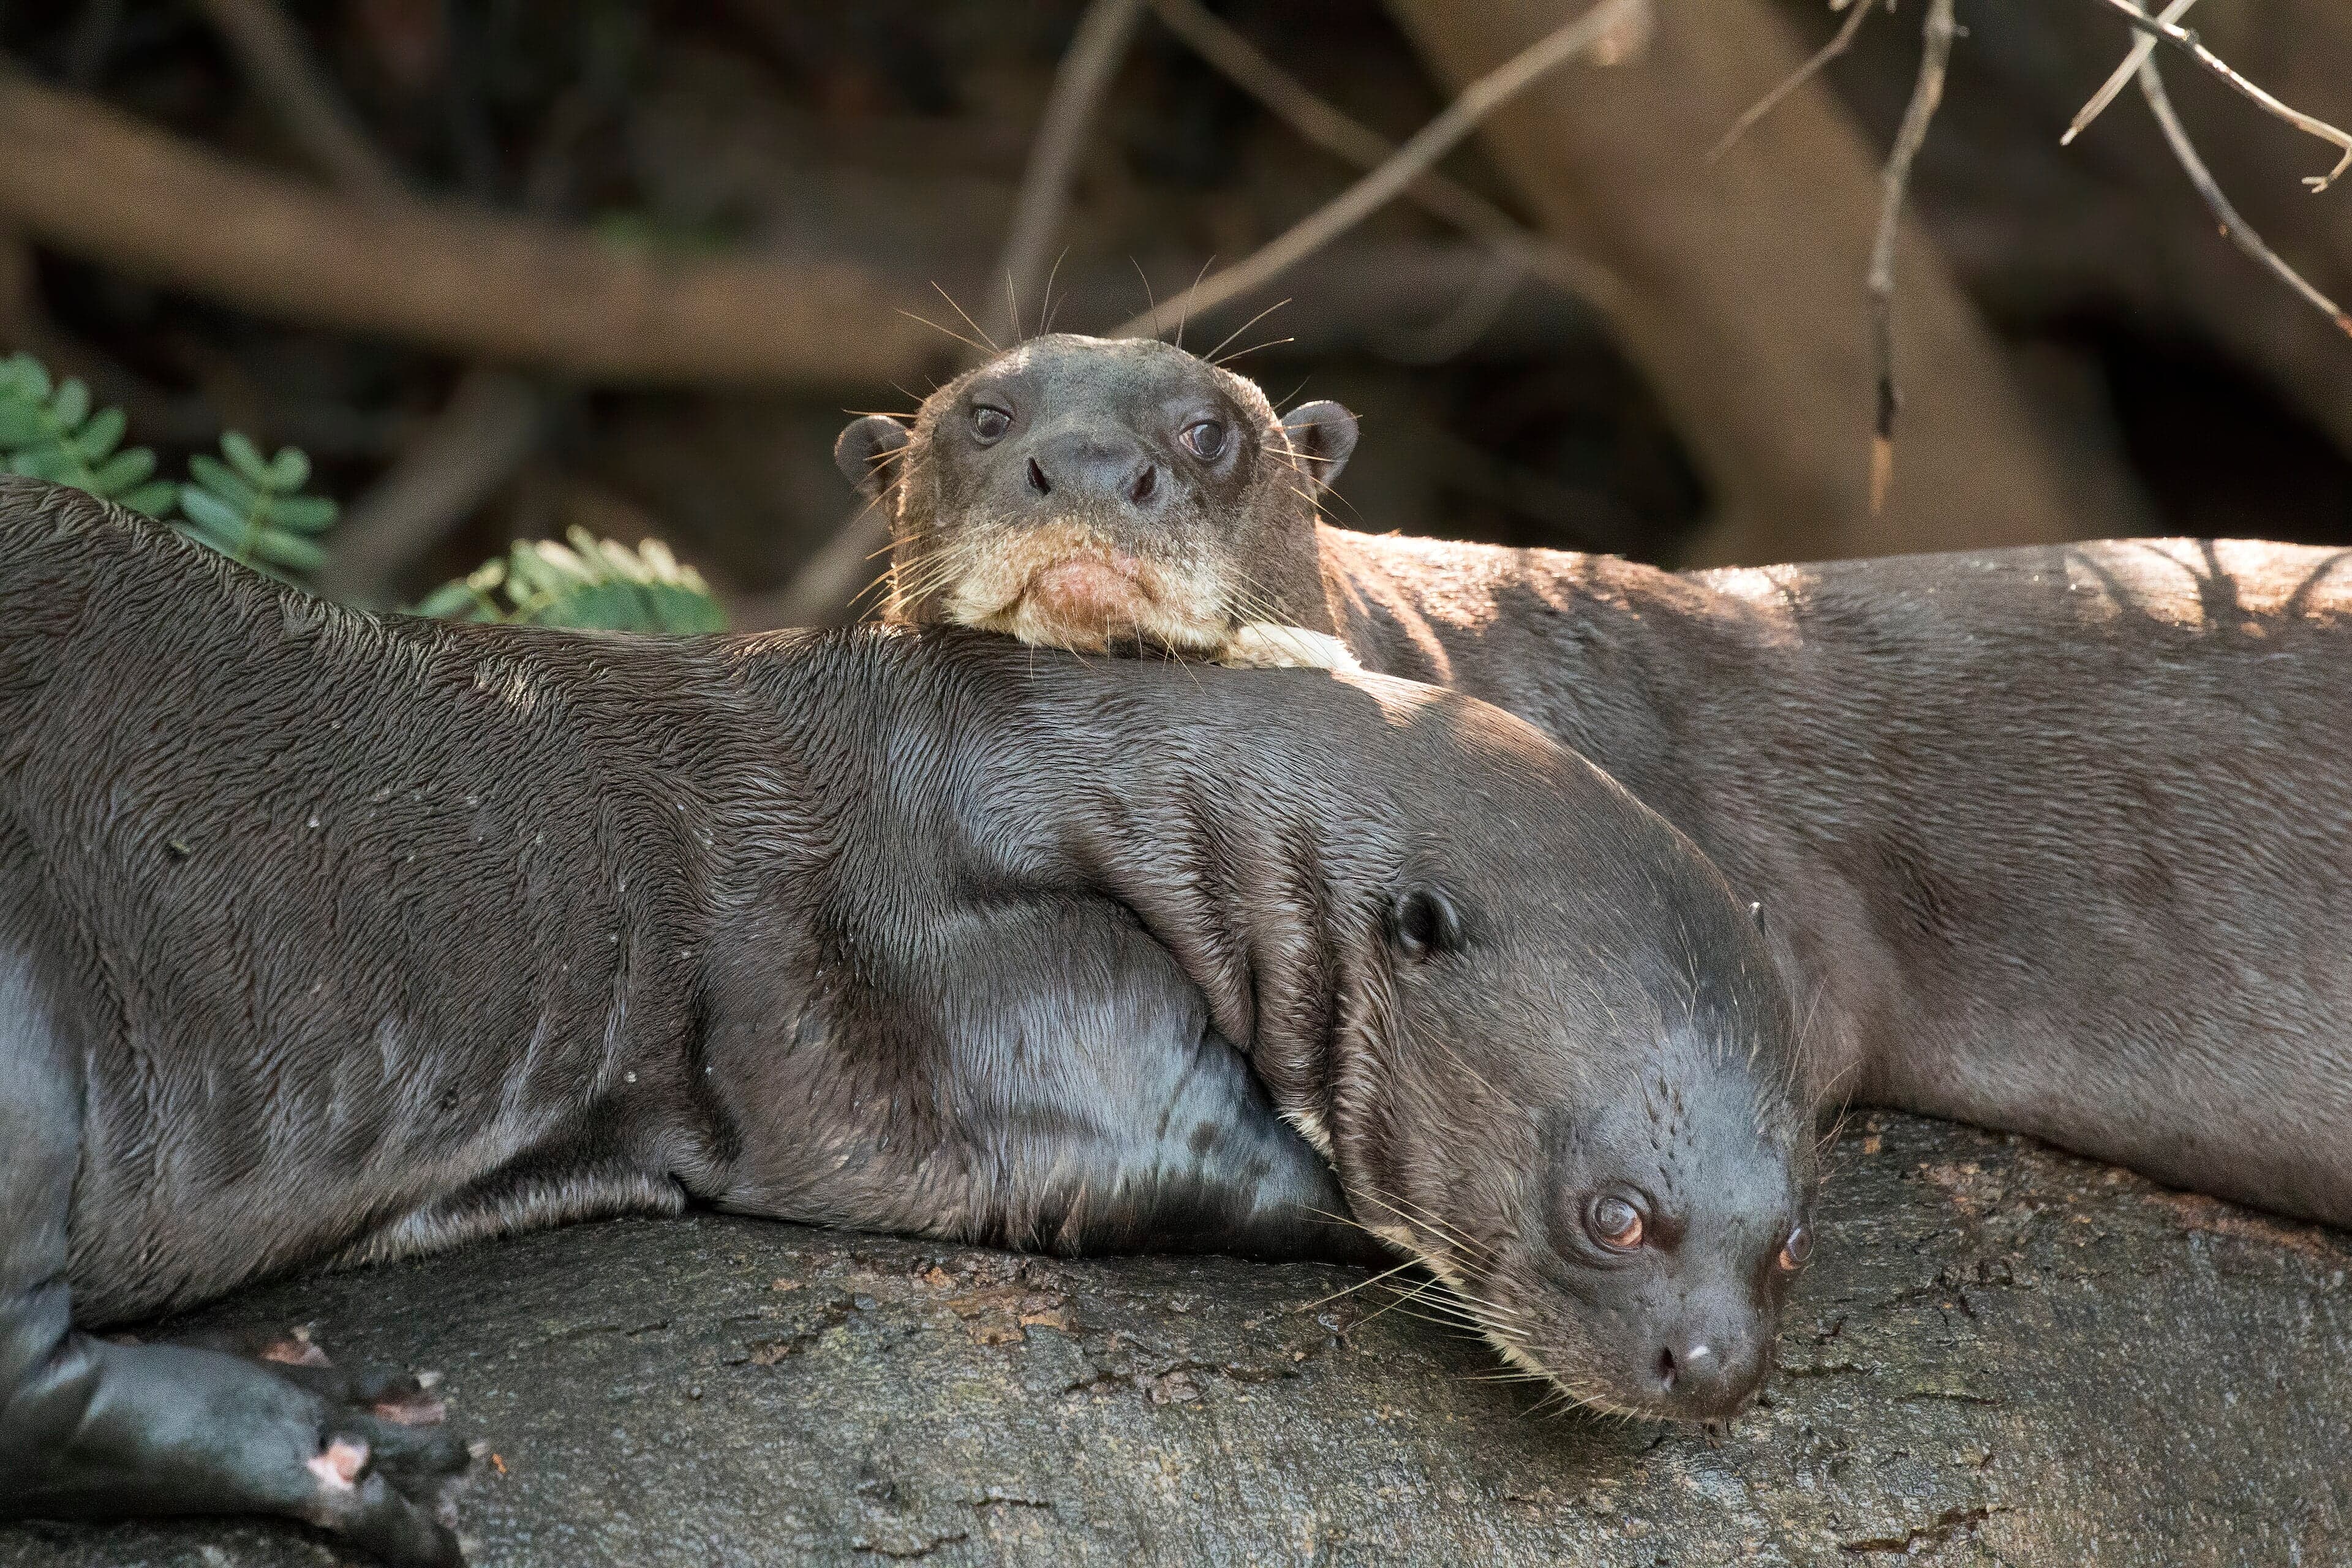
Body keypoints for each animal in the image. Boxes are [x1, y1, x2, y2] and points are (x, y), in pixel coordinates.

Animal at [0, 479, 1812, 1567]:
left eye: (1787, 1236)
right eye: (1615, 1214)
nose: (1712, 1366)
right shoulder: (904, 966)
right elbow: (1120, 1130)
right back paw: (340, 1451)